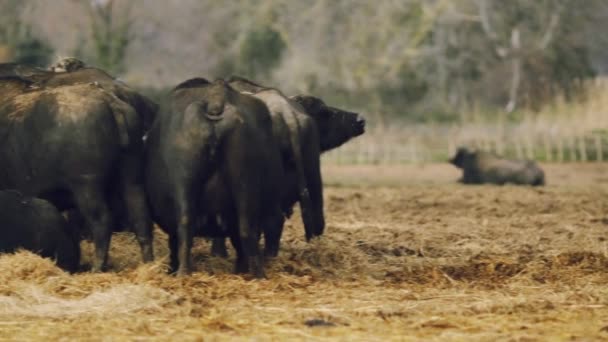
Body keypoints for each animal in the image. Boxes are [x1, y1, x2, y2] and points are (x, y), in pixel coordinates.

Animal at [145, 78, 284, 278]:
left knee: (186, 224)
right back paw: (257, 275)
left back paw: (184, 273)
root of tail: (216, 101)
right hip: (243, 184)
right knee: (245, 229)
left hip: (186, 180)